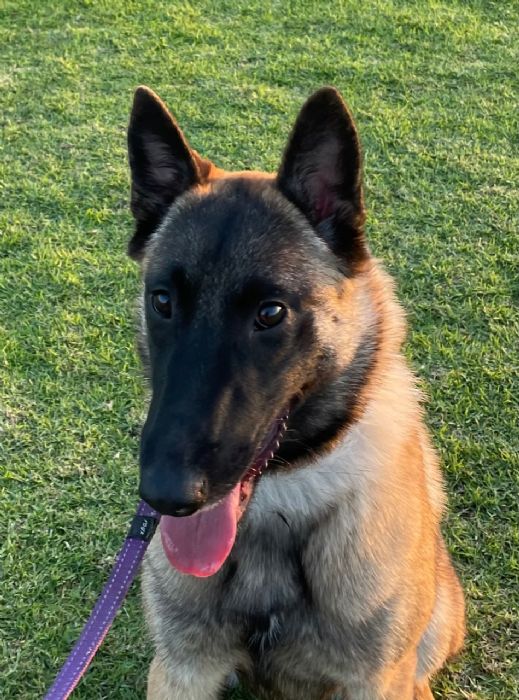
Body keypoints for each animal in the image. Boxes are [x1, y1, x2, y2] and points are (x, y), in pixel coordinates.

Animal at [126, 85, 465, 700]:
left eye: (271, 313)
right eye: (162, 301)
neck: (279, 499)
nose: (165, 495)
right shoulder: (181, 669)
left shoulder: (377, 679)